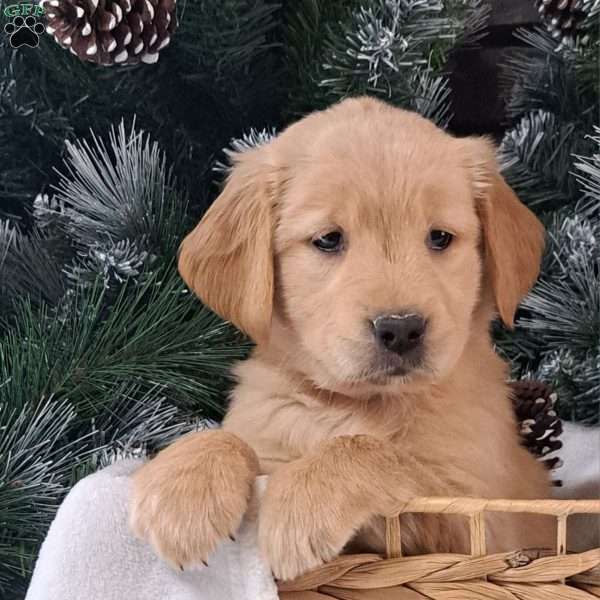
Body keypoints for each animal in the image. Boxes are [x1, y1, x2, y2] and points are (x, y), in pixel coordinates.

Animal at [130, 96, 552, 580]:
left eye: (441, 237)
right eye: (328, 239)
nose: (401, 328)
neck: (359, 403)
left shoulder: (476, 517)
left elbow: (374, 450)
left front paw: (301, 503)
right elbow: (230, 437)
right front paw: (181, 491)